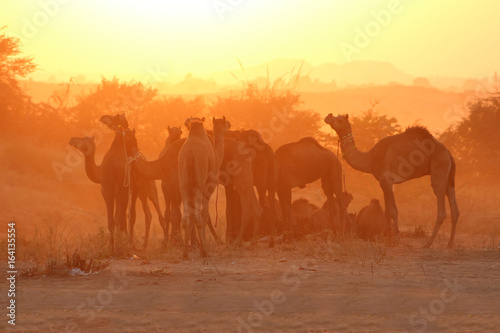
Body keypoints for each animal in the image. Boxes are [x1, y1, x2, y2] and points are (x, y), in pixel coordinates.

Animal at [324, 113, 460, 246]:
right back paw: (450, 244)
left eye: (340, 119)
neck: (369, 158)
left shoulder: (386, 180)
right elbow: (387, 211)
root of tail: (448, 153)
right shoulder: (384, 182)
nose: (328, 117)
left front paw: (397, 240)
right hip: (450, 177)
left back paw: (428, 243)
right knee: (455, 209)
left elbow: (393, 210)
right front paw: (387, 239)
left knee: (441, 210)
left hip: (440, 167)